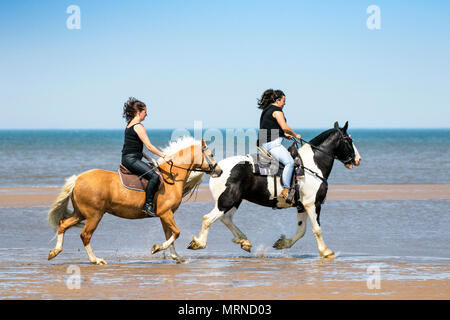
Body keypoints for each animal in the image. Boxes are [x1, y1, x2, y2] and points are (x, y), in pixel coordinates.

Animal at [48, 138, 222, 264]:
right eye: (211, 154)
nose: (219, 171)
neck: (171, 177)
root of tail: (77, 179)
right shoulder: (166, 213)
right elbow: (176, 233)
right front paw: (156, 248)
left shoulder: (165, 215)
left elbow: (170, 235)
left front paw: (176, 257)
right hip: (94, 215)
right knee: (85, 235)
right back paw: (95, 260)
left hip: (81, 214)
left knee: (63, 224)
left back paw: (54, 252)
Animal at [187, 121, 362, 258]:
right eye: (349, 140)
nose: (358, 159)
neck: (312, 165)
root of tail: (217, 169)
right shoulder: (313, 204)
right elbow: (317, 229)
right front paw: (325, 251)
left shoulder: (301, 205)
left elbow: (302, 230)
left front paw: (283, 243)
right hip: (227, 200)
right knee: (208, 218)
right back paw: (199, 243)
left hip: (234, 200)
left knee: (226, 219)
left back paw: (244, 241)